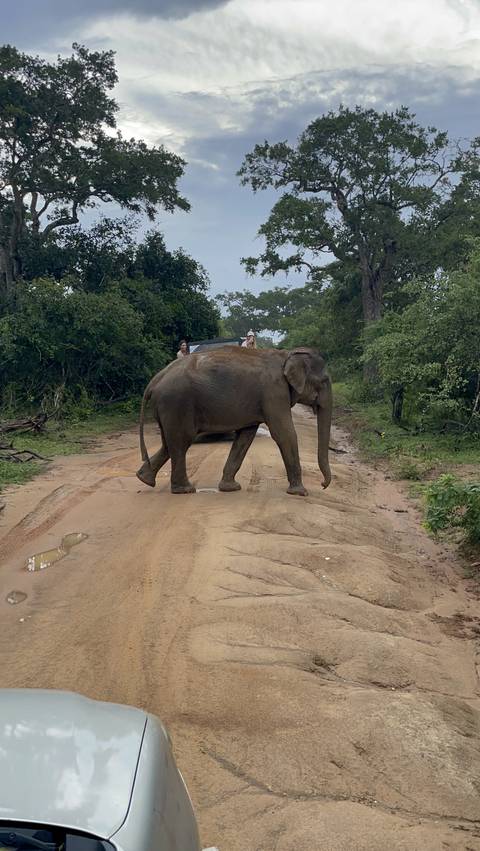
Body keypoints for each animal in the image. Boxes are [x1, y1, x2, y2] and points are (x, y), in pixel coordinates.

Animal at [136, 346, 332, 496]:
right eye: (324, 381)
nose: (323, 485)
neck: (287, 354)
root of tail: (155, 380)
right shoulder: (274, 392)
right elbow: (285, 434)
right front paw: (301, 493)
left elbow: (245, 436)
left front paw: (230, 488)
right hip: (177, 404)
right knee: (181, 441)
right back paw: (184, 490)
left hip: (168, 408)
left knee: (169, 443)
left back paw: (144, 479)